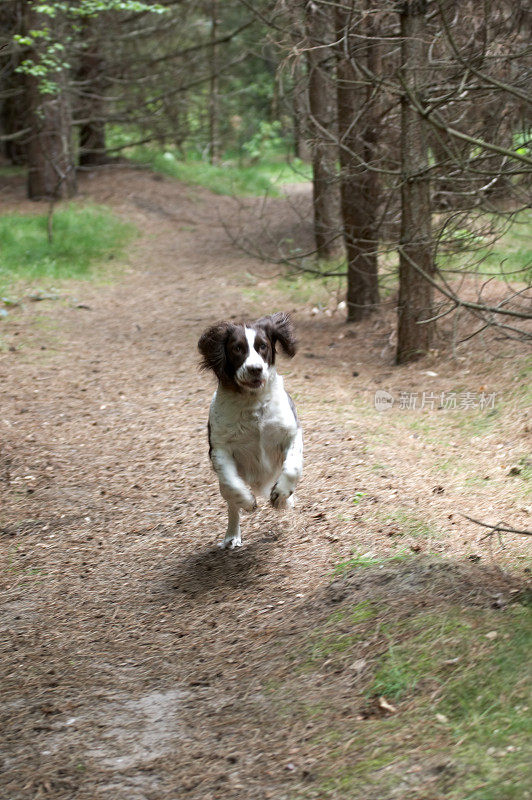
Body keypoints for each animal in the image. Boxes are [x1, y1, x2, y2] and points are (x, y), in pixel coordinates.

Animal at [198, 312, 304, 552]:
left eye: (262, 346)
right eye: (237, 348)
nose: (255, 368)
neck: (252, 403)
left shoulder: (291, 433)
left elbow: (292, 468)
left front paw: (281, 495)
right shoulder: (220, 448)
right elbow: (231, 484)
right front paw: (247, 501)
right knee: (230, 502)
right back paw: (232, 535)